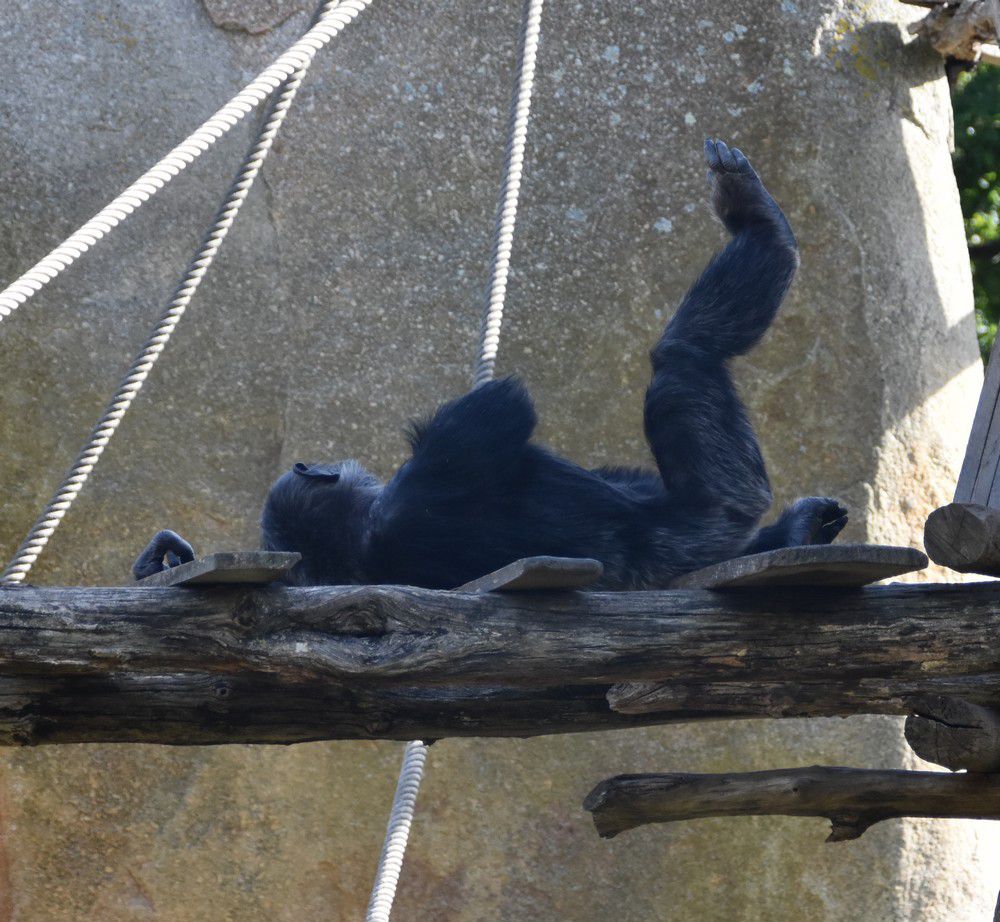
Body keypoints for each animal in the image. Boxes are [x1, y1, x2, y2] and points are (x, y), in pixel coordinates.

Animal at [137, 139, 848, 584]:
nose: (333, 461)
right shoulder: (442, 464)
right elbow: (503, 409)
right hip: (719, 504)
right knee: (683, 358)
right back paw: (755, 217)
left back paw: (800, 530)